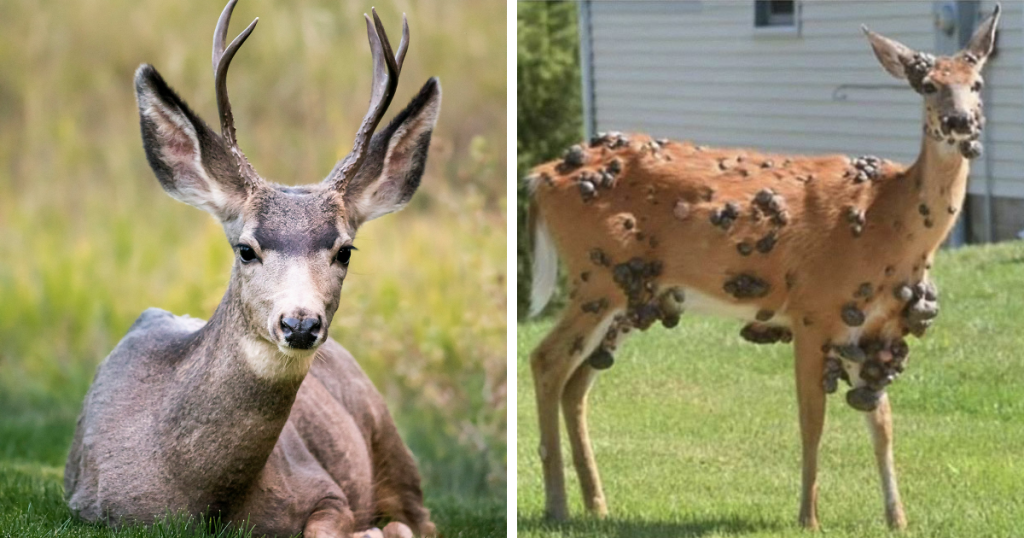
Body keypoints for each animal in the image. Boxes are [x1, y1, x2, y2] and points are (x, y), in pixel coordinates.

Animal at [63, 1, 441, 537]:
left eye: (345, 251)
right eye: (246, 249)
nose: (300, 323)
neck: (201, 500)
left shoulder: (323, 487)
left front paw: (373, 530)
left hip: (388, 436)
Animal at [526, 6, 1000, 531]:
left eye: (976, 82)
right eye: (929, 85)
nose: (960, 120)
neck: (887, 221)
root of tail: (540, 176)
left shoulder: (873, 328)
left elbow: (882, 425)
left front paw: (898, 520)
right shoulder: (814, 312)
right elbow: (812, 422)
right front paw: (809, 519)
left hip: (633, 294)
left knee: (576, 383)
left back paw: (597, 505)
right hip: (596, 276)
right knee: (546, 360)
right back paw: (556, 504)